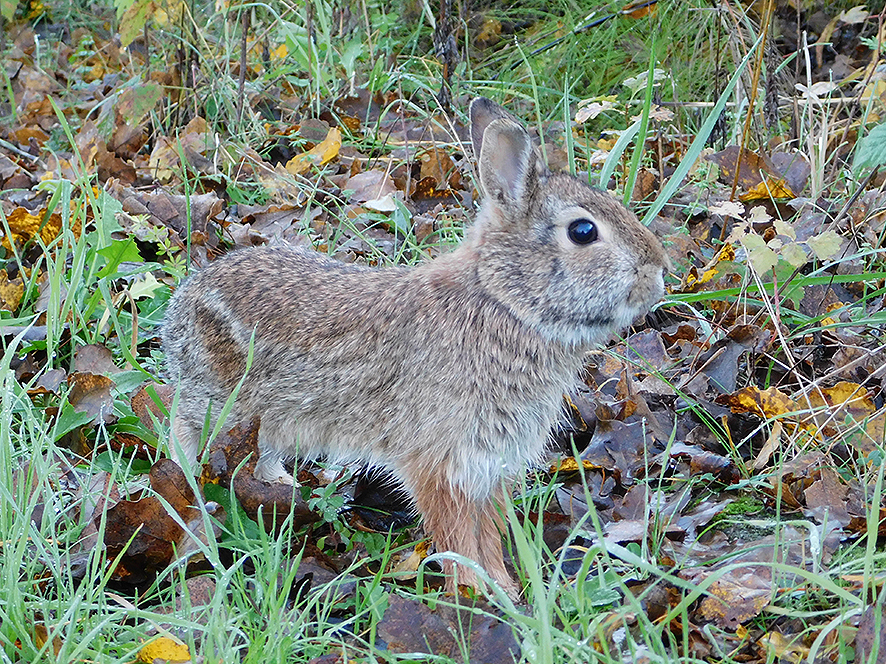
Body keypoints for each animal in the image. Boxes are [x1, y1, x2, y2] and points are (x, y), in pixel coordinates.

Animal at [161, 97, 672, 596]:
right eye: (583, 232)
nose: (657, 270)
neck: (504, 301)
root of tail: (184, 304)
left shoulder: (490, 466)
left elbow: (487, 533)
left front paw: (505, 590)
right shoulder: (439, 462)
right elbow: (457, 535)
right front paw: (478, 592)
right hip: (223, 402)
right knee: (185, 429)